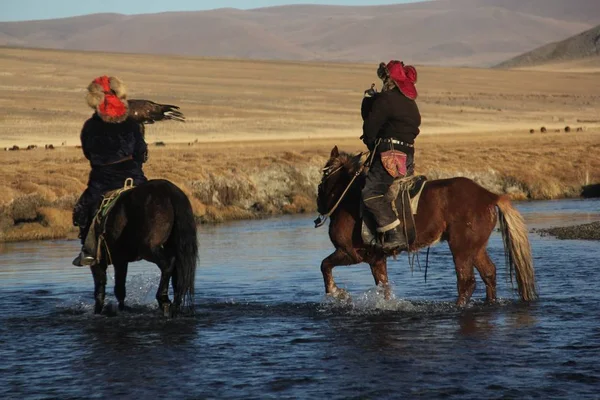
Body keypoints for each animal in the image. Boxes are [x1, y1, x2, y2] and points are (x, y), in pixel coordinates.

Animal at [90, 180, 197, 316]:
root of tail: (169, 191)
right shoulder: (120, 261)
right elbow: (119, 288)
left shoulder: (102, 260)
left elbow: (103, 287)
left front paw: (99, 310)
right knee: (177, 271)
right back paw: (174, 304)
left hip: (148, 248)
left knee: (168, 264)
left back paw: (163, 300)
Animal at [316, 147, 536, 306]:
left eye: (323, 178)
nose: (319, 205)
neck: (348, 197)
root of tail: (490, 196)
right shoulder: (376, 259)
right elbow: (383, 288)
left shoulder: (350, 253)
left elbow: (325, 265)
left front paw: (337, 293)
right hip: (476, 248)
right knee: (489, 274)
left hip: (461, 248)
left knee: (466, 282)